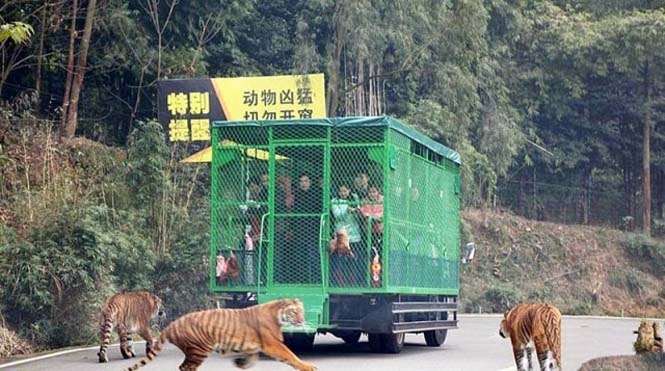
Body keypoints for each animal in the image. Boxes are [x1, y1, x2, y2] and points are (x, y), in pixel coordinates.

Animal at [127, 300, 320, 371]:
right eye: (294, 312)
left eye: (302, 311)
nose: (302, 320)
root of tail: (171, 325)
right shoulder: (272, 344)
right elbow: (290, 355)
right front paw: (308, 367)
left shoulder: (253, 347)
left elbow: (252, 359)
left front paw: (240, 363)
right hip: (199, 349)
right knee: (185, 367)